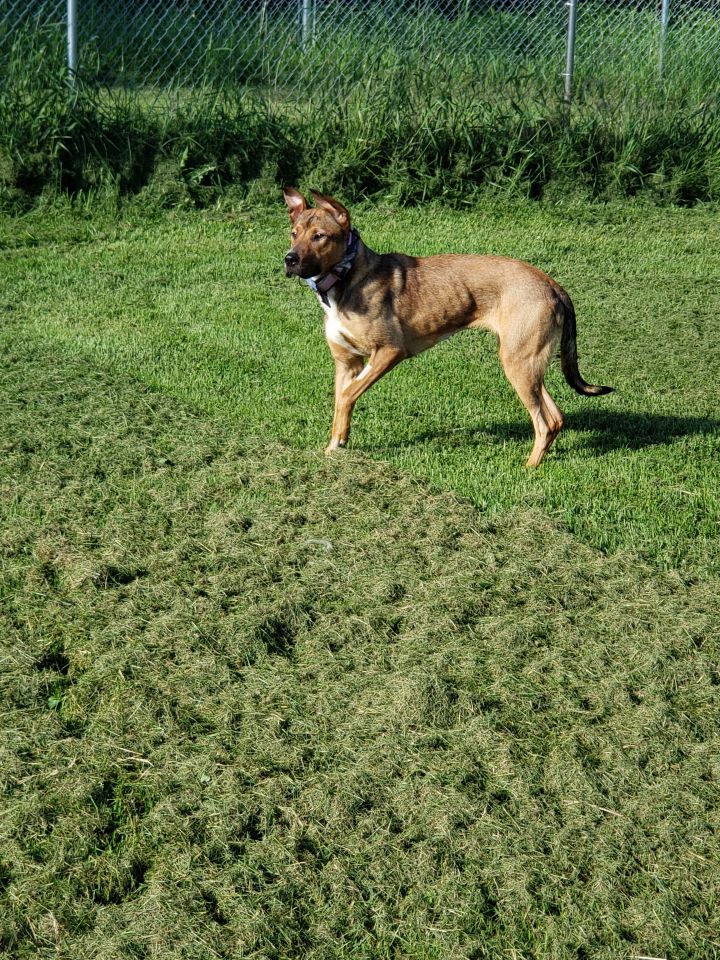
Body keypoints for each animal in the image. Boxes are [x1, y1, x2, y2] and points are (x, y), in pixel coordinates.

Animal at [284, 187, 612, 464]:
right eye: (293, 233)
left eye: (319, 236)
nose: (289, 259)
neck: (347, 277)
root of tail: (552, 285)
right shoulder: (347, 363)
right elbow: (341, 404)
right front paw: (334, 448)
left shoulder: (390, 352)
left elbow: (347, 396)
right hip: (529, 364)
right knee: (555, 418)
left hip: (518, 363)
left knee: (544, 422)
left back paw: (528, 468)